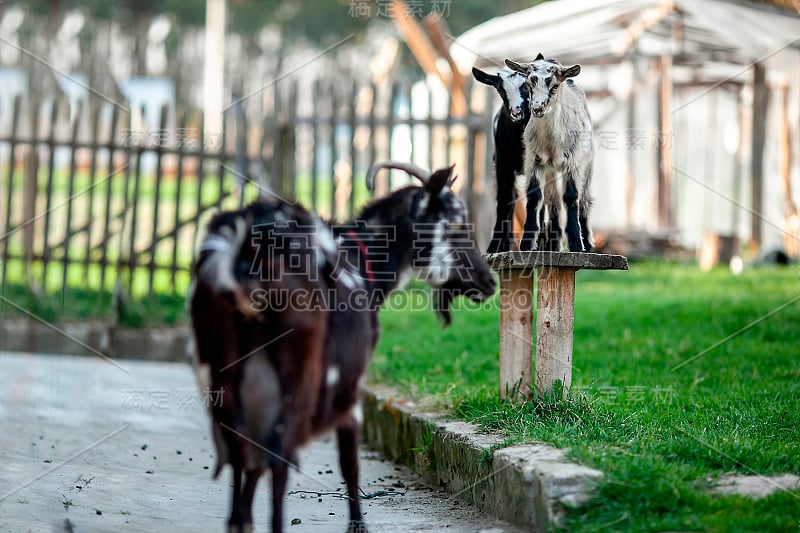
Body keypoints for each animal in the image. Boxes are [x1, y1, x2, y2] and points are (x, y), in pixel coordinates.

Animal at [190, 162, 496, 532]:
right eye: (454, 223)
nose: (489, 281)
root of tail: (247, 249)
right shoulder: (350, 385)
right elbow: (349, 462)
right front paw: (357, 525)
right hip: (298, 377)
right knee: (279, 455)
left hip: (222, 370)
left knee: (240, 446)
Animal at [468, 66, 532, 254]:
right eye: (500, 90)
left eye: (527, 86)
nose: (517, 112)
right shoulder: (503, 162)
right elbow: (505, 198)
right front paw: (495, 246)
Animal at [506, 54, 592, 251]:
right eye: (528, 84)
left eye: (554, 86)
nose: (537, 108)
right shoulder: (534, 160)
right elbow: (534, 196)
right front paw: (527, 243)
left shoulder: (573, 161)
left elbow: (571, 196)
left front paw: (577, 244)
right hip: (551, 170)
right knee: (553, 201)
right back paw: (554, 243)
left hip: (588, 163)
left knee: (584, 199)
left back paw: (588, 243)